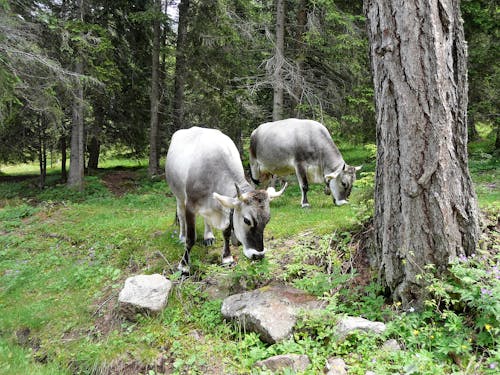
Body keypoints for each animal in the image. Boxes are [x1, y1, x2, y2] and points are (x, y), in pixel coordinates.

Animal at [166, 127, 288, 276]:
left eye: (268, 220)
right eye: (246, 220)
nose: (258, 255)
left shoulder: (223, 207)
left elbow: (226, 232)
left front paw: (226, 257)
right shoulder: (191, 205)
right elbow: (191, 238)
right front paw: (184, 265)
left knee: (206, 219)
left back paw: (208, 236)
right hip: (178, 195)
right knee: (181, 214)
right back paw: (182, 236)